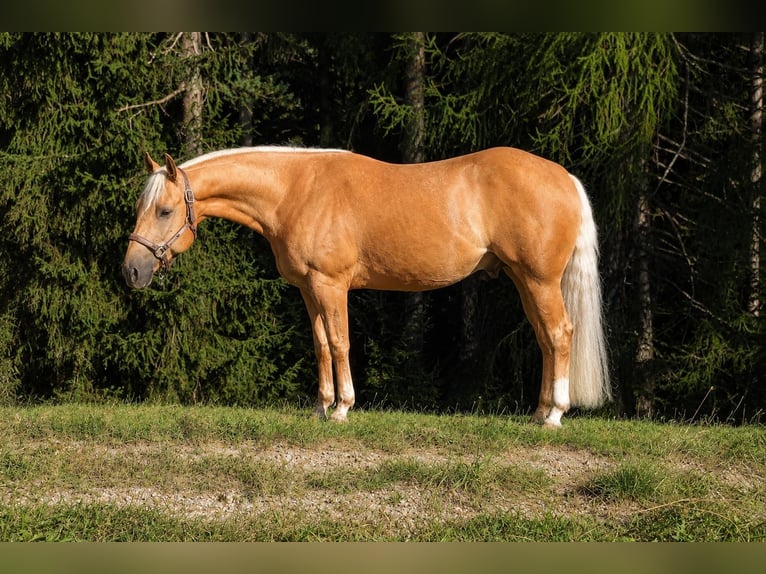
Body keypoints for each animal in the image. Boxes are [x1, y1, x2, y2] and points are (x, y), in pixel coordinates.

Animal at [122, 146, 610, 428]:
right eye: (142, 208)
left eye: (164, 211)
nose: (132, 271)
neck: (296, 190)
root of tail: (565, 178)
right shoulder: (309, 289)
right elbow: (321, 344)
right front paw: (321, 406)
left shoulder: (331, 285)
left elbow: (340, 342)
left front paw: (342, 408)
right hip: (525, 281)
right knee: (546, 339)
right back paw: (539, 411)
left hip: (539, 280)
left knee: (559, 335)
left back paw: (554, 415)